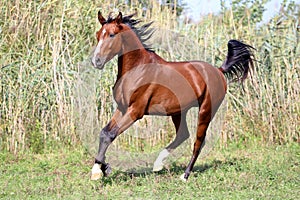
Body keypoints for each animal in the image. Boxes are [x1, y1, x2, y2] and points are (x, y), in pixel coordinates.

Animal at [89, 11, 255, 182]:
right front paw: (103, 168)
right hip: (178, 111)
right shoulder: (121, 108)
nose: (96, 61)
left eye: (112, 35)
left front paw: (97, 171)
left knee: (198, 141)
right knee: (183, 135)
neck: (138, 69)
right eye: (98, 35)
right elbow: (104, 132)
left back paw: (185, 175)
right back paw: (158, 164)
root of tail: (219, 70)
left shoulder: (135, 111)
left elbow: (110, 134)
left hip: (206, 110)